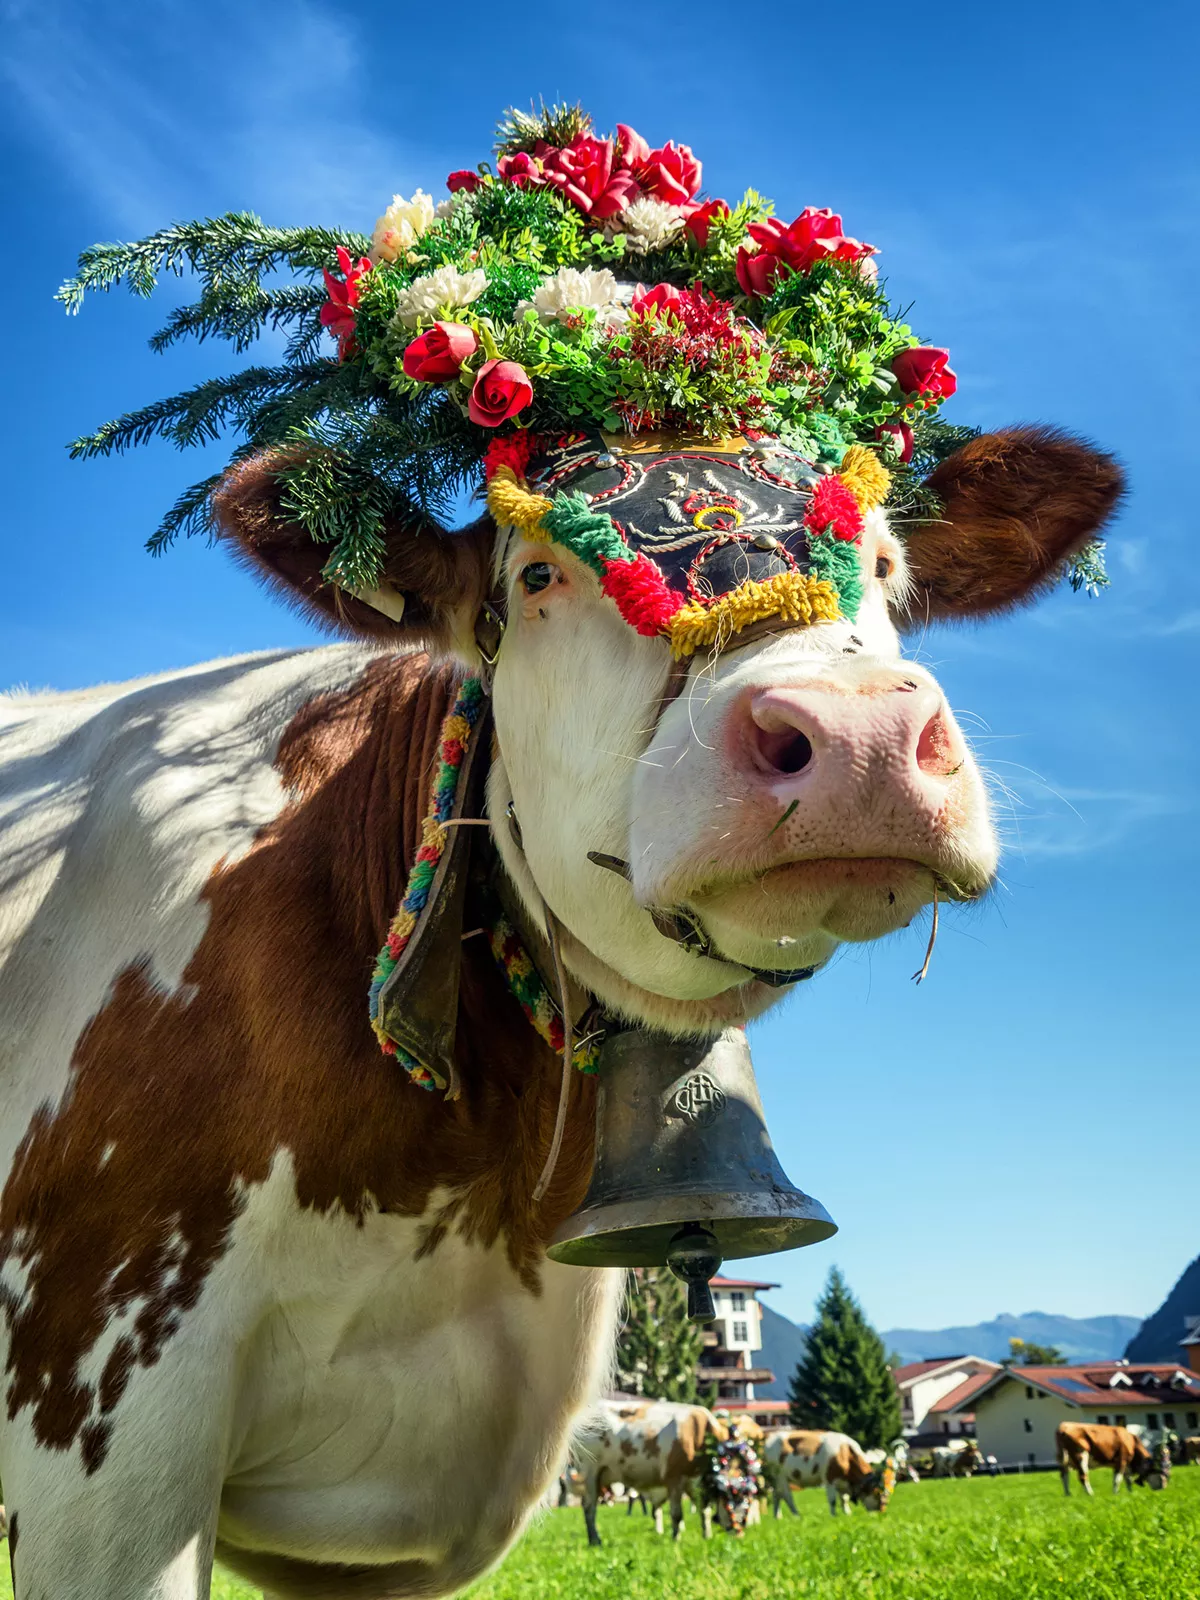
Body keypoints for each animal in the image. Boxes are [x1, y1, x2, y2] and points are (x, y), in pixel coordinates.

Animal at [572, 1401, 723, 1536]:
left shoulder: (694, 1484)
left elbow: (704, 1511)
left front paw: (707, 1536)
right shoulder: (674, 1476)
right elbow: (677, 1514)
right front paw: (676, 1539)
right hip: (589, 1471)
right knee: (589, 1506)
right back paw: (595, 1540)